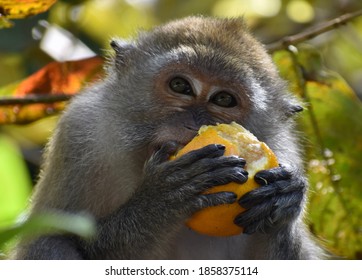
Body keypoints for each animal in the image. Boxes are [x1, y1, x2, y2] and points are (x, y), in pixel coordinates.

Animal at [12, 16, 322, 260]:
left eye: (223, 99)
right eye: (180, 85)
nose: (192, 126)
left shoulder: (286, 152)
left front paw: (285, 200)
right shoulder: (80, 132)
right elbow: (57, 238)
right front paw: (160, 200)